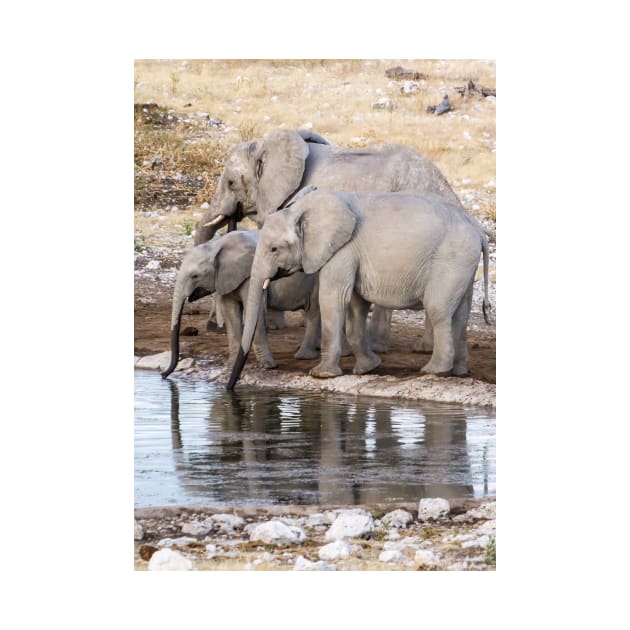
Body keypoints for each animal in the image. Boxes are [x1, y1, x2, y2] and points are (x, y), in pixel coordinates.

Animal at [163, 232, 320, 380]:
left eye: (195, 276)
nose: (164, 375)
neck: (216, 246)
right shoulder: (225, 279)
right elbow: (230, 312)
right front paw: (231, 364)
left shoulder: (251, 276)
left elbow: (255, 312)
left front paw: (268, 366)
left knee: (313, 313)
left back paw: (303, 355)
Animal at [227, 190, 494, 392]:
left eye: (273, 249)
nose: (231, 387)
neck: (304, 209)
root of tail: (478, 230)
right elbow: (356, 303)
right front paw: (368, 368)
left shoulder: (342, 250)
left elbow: (334, 298)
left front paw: (321, 374)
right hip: (463, 263)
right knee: (459, 314)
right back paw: (459, 372)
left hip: (451, 260)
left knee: (438, 309)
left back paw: (434, 370)